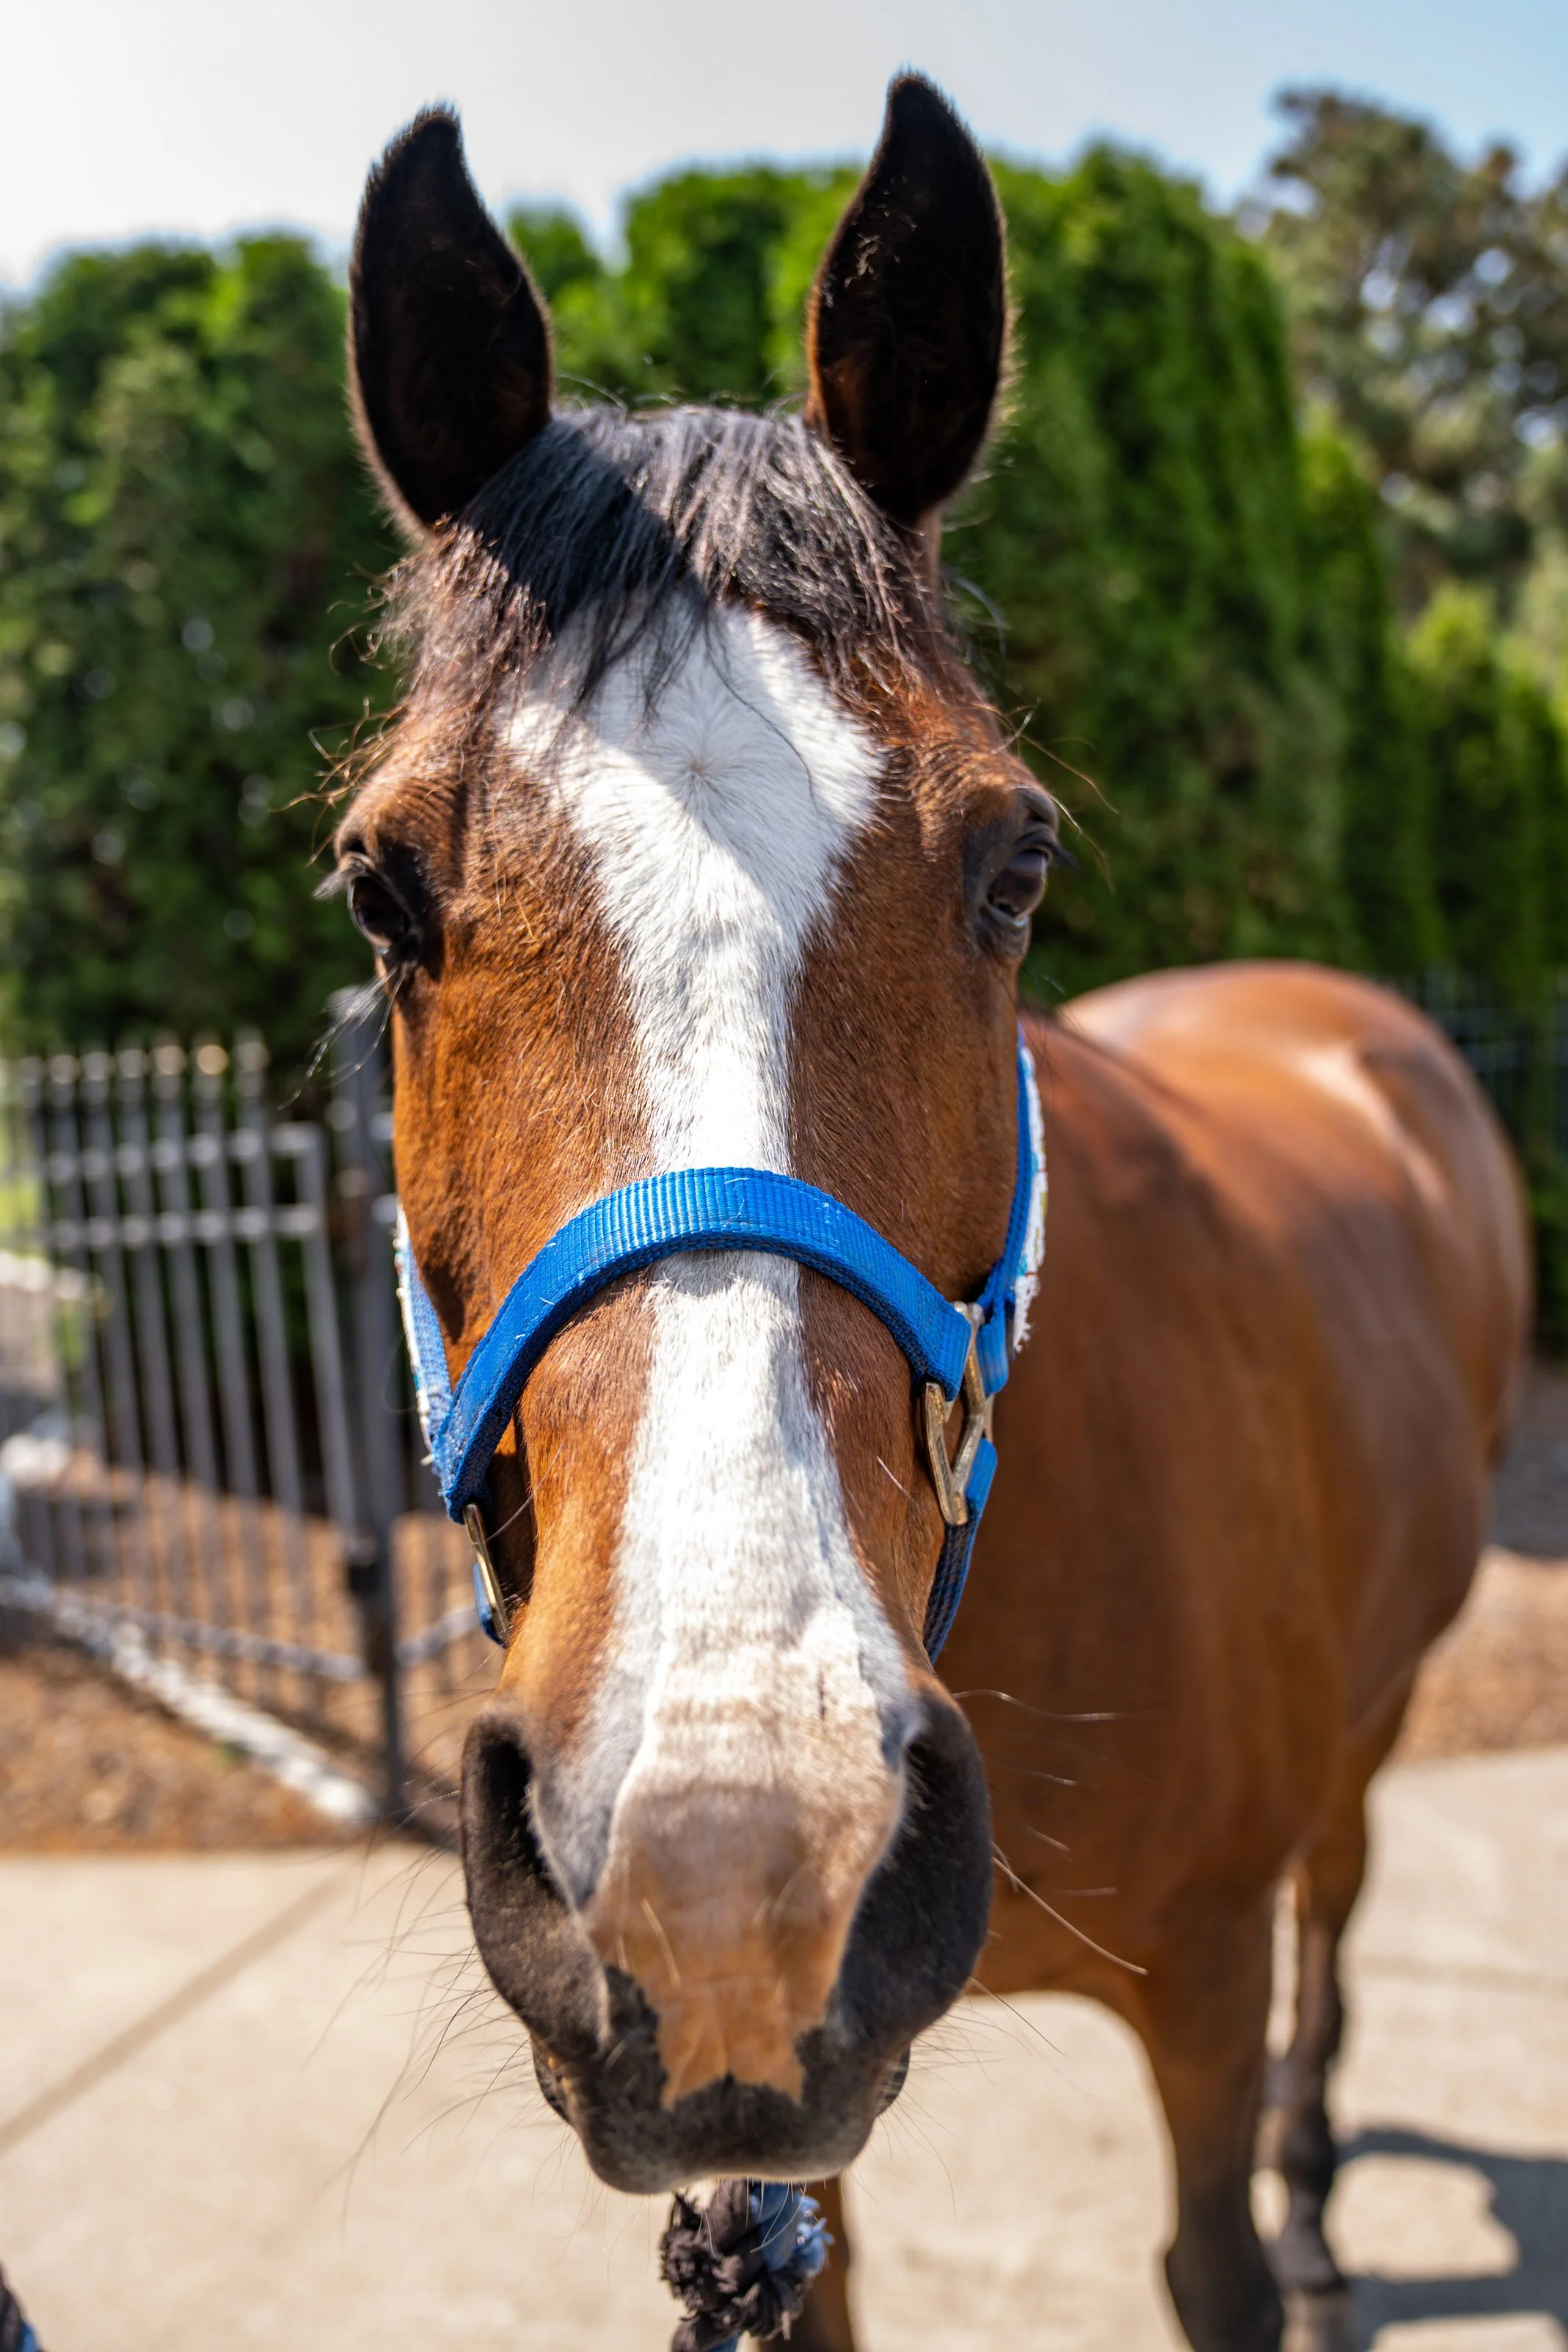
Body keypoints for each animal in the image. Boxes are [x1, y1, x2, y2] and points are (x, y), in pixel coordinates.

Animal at [333, 77, 1529, 2352]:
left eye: (1015, 863)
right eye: (382, 886)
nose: (729, 1855)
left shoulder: (1203, 1982)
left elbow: (1215, 2247)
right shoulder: (781, 2165)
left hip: (1376, 1712)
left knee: (1344, 1910)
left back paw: (1329, 2194)